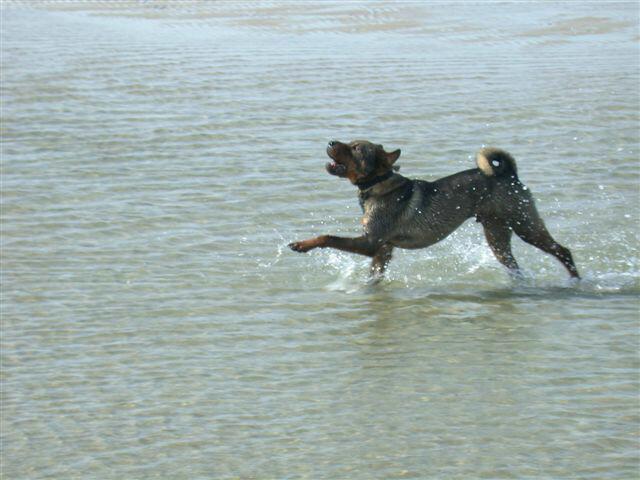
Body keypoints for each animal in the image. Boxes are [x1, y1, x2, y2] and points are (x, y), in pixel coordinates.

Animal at [290, 141, 580, 280]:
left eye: (356, 148)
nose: (331, 141)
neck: (378, 184)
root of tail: (508, 173)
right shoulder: (383, 250)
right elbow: (373, 276)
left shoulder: (371, 242)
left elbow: (327, 237)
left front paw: (302, 245)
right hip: (497, 235)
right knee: (514, 264)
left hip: (525, 224)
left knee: (562, 251)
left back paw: (575, 280)